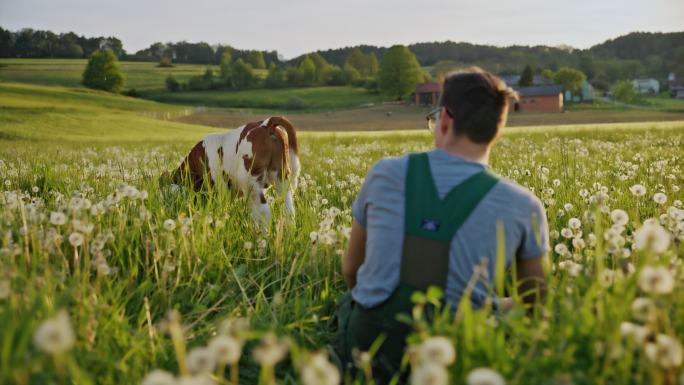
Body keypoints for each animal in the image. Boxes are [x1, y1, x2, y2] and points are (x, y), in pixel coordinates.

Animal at [169, 115, 300, 224]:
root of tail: (266, 123)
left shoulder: (219, 188)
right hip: (281, 176)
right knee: (289, 208)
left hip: (250, 180)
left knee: (263, 211)